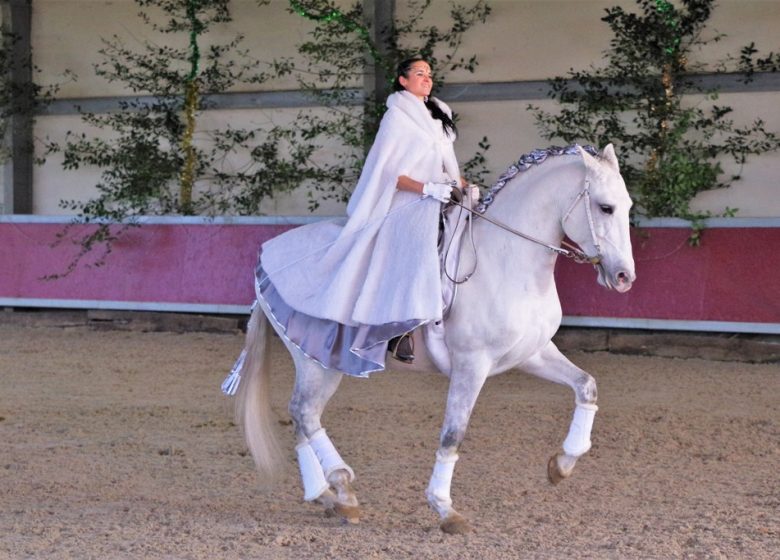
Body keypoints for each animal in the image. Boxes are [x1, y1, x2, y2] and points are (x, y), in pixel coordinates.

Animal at [225, 143, 632, 532]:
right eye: (605, 207)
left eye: (627, 206)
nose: (624, 277)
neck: (506, 261)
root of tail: (265, 259)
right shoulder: (472, 364)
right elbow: (453, 433)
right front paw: (445, 509)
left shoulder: (532, 354)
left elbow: (586, 386)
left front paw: (562, 465)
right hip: (318, 362)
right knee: (305, 414)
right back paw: (342, 488)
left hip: (318, 360)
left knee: (300, 417)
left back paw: (324, 495)